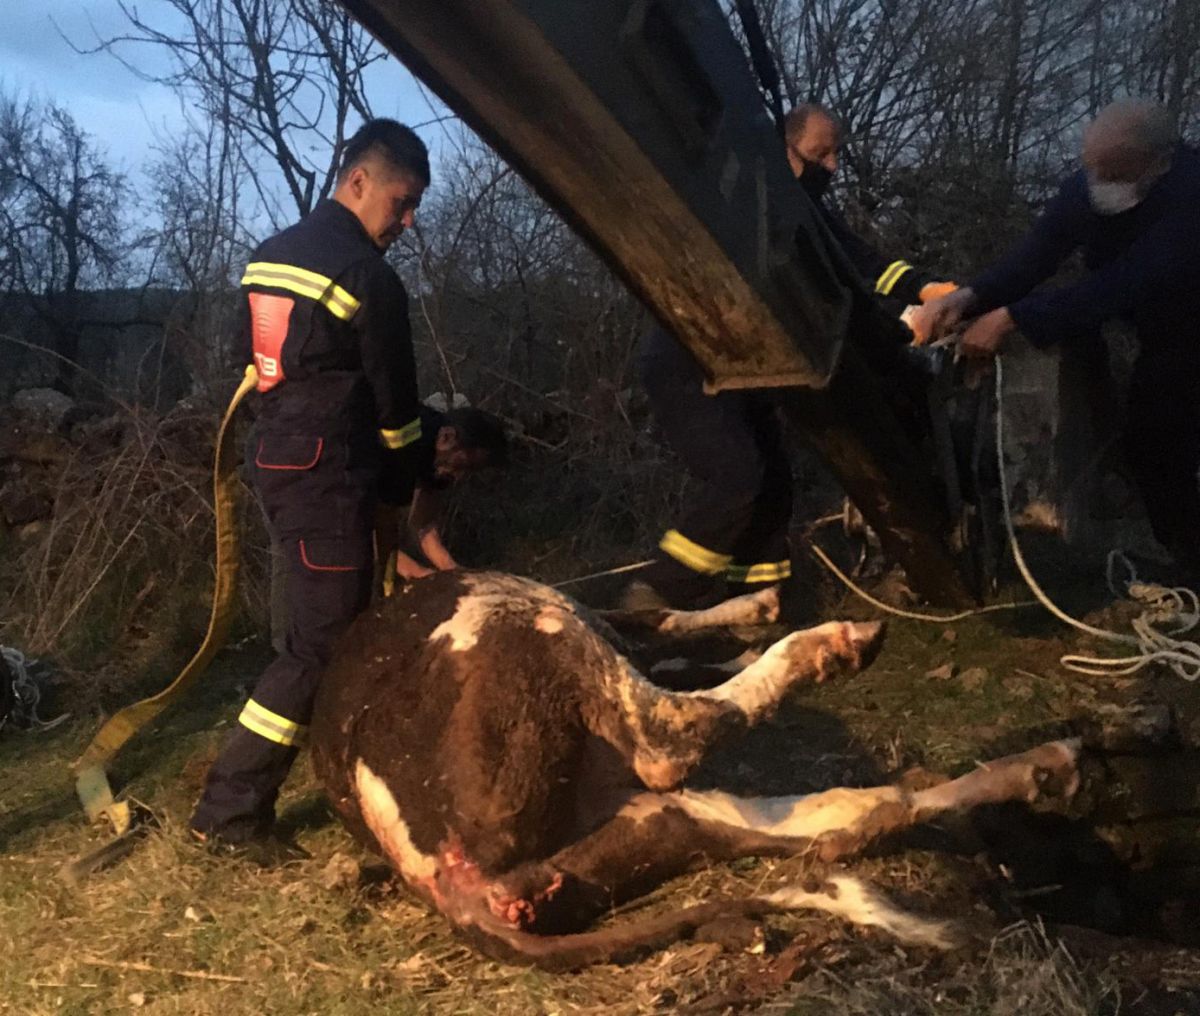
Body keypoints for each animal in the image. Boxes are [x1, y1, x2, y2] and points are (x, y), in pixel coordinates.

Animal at [309, 570, 1080, 969]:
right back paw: (835, 644)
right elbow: (659, 624)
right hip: (521, 623)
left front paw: (745, 622)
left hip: (663, 823)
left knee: (851, 816)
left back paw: (1043, 767)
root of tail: (446, 884)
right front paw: (754, 618)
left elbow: (666, 628)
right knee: (667, 736)